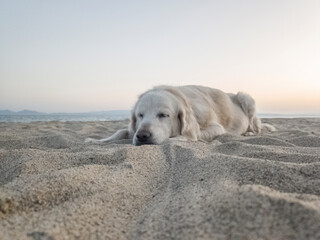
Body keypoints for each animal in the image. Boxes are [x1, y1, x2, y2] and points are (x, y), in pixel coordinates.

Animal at [85, 85, 276, 145]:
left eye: (163, 115)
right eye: (140, 115)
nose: (142, 136)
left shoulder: (216, 127)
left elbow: (194, 134)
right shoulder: (133, 128)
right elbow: (122, 131)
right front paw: (96, 140)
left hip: (246, 98)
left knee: (256, 126)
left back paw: (249, 132)